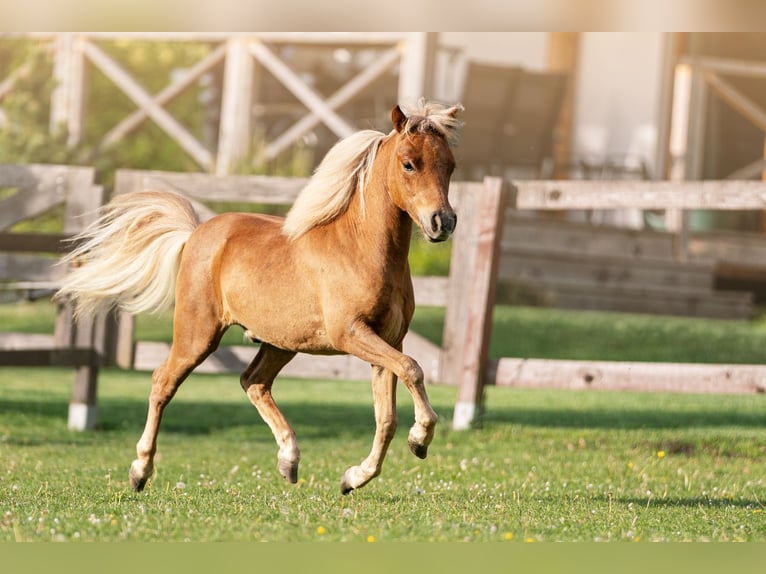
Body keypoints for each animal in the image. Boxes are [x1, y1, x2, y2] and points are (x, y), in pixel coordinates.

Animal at [56, 99, 464, 494]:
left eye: (450, 165)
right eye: (409, 163)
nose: (442, 222)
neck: (360, 249)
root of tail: (195, 233)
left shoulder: (387, 341)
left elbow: (387, 416)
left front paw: (354, 477)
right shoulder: (351, 333)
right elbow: (413, 369)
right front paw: (420, 439)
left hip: (280, 342)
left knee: (253, 381)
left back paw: (289, 460)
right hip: (198, 334)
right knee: (163, 382)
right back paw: (140, 471)